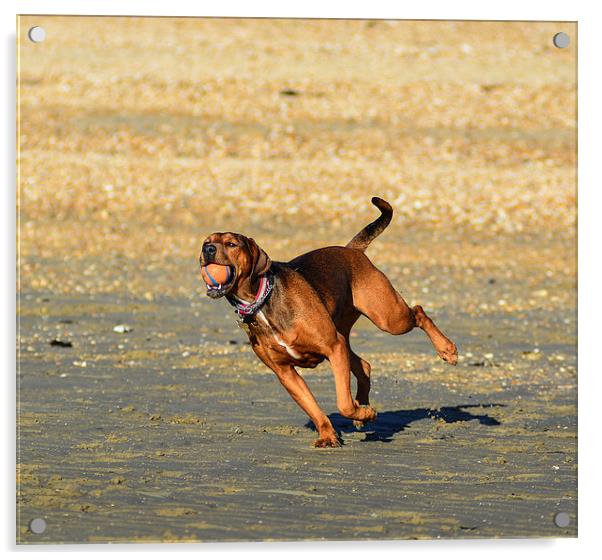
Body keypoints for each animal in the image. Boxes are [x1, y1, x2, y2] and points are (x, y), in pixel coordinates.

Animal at [199, 197, 458, 446]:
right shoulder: (285, 373)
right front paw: (329, 434)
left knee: (419, 312)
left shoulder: (333, 347)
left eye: (231, 244)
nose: (207, 249)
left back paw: (447, 350)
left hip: (388, 317)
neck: (262, 301)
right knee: (365, 365)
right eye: (207, 241)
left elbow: (343, 403)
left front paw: (365, 413)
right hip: (346, 331)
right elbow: (313, 408)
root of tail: (352, 250)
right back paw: (363, 406)